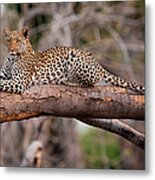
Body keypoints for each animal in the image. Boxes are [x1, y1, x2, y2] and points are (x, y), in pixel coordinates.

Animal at [0, 26, 145, 95]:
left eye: (18, 40)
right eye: (8, 40)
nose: (11, 49)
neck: (12, 58)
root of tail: (98, 64)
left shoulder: (19, 82)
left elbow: (2, 83)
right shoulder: (5, 75)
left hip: (74, 56)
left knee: (90, 83)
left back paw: (67, 81)